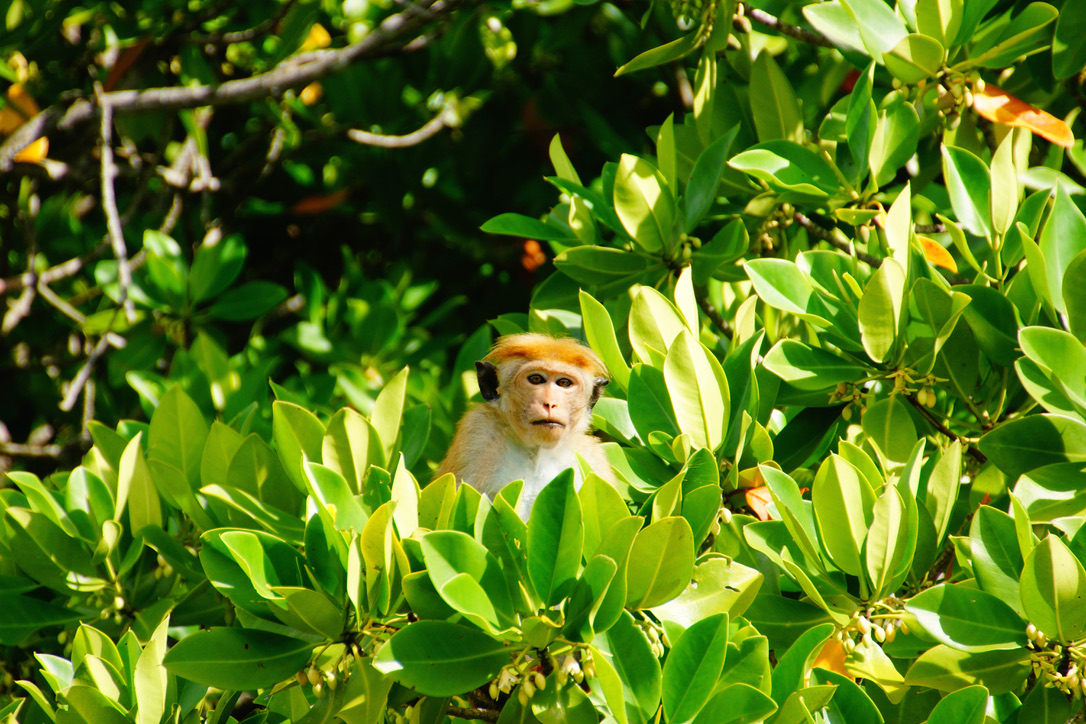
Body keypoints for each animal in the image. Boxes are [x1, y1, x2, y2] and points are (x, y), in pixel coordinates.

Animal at [435, 333, 614, 517]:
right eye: (536, 379)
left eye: (564, 383)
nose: (550, 403)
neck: (537, 451)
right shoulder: (477, 435)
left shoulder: (592, 460)